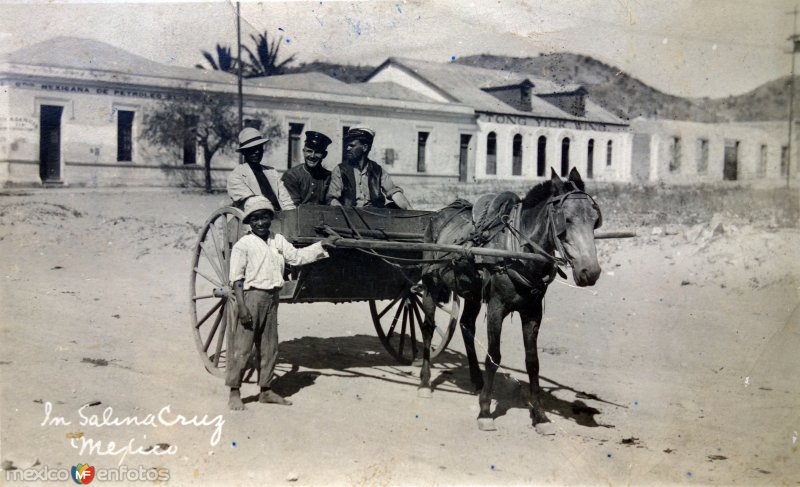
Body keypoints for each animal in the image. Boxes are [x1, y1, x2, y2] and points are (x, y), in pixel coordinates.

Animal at [418, 168, 600, 430]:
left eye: (595, 219)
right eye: (566, 220)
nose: (590, 272)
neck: (518, 252)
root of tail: (439, 213)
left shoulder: (533, 311)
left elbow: (533, 362)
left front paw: (540, 416)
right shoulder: (496, 307)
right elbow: (494, 357)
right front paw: (485, 412)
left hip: (472, 292)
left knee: (466, 325)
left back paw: (476, 380)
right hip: (430, 285)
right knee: (428, 328)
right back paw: (424, 382)